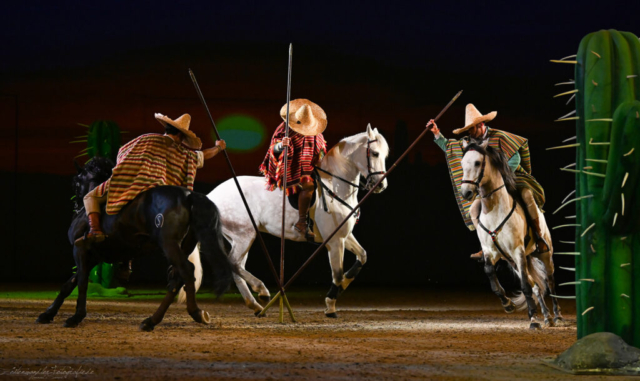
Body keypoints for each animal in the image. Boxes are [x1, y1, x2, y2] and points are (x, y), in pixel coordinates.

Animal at [35, 156, 235, 332]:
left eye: (76, 182)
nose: (76, 205)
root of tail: (188, 195)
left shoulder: (81, 250)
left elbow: (82, 282)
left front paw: (76, 317)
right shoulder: (94, 256)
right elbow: (69, 284)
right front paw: (47, 314)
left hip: (169, 245)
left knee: (186, 271)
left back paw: (194, 312)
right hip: (183, 247)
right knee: (178, 278)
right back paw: (151, 321)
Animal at [180, 123, 390, 316]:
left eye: (385, 155)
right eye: (375, 153)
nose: (381, 186)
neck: (335, 187)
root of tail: (211, 195)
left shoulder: (344, 236)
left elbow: (362, 256)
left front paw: (345, 284)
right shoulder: (335, 241)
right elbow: (337, 274)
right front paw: (331, 305)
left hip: (240, 238)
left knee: (236, 266)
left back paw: (256, 306)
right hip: (244, 235)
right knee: (233, 263)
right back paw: (262, 291)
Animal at [458, 138, 564, 328]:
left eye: (477, 162)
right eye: (462, 163)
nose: (466, 192)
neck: (494, 212)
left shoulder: (517, 251)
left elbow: (525, 286)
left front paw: (533, 320)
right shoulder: (491, 252)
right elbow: (491, 274)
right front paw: (508, 305)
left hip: (545, 255)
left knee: (550, 281)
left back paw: (557, 316)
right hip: (515, 261)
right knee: (536, 286)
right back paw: (546, 317)